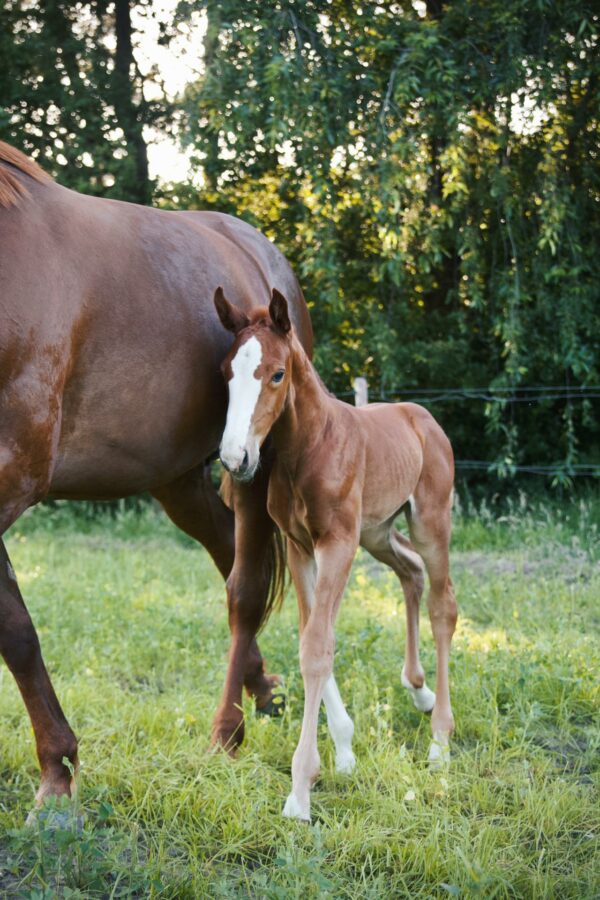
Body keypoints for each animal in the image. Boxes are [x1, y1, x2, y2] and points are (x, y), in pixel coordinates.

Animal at [1, 142, 314, 808]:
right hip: (180, 477)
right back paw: (261, 692)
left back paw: (228, 731)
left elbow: (14, 630)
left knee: (245, 588)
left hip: (252, 466)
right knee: (229, 555)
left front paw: (56, 778)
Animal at [214, 284, 454, 820]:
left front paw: (300, 792)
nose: (236, 459)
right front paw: (341, 751)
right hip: (379, 532)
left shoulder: (337, 543)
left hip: (429, 522)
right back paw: (419, 690)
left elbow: (318, 647)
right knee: (410, 574)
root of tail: (424, 416)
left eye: (277, 374)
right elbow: (310, 635)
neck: (308, 448)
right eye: (226, 372)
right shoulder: (301, 546)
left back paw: (440, 742)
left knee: (443, 604)